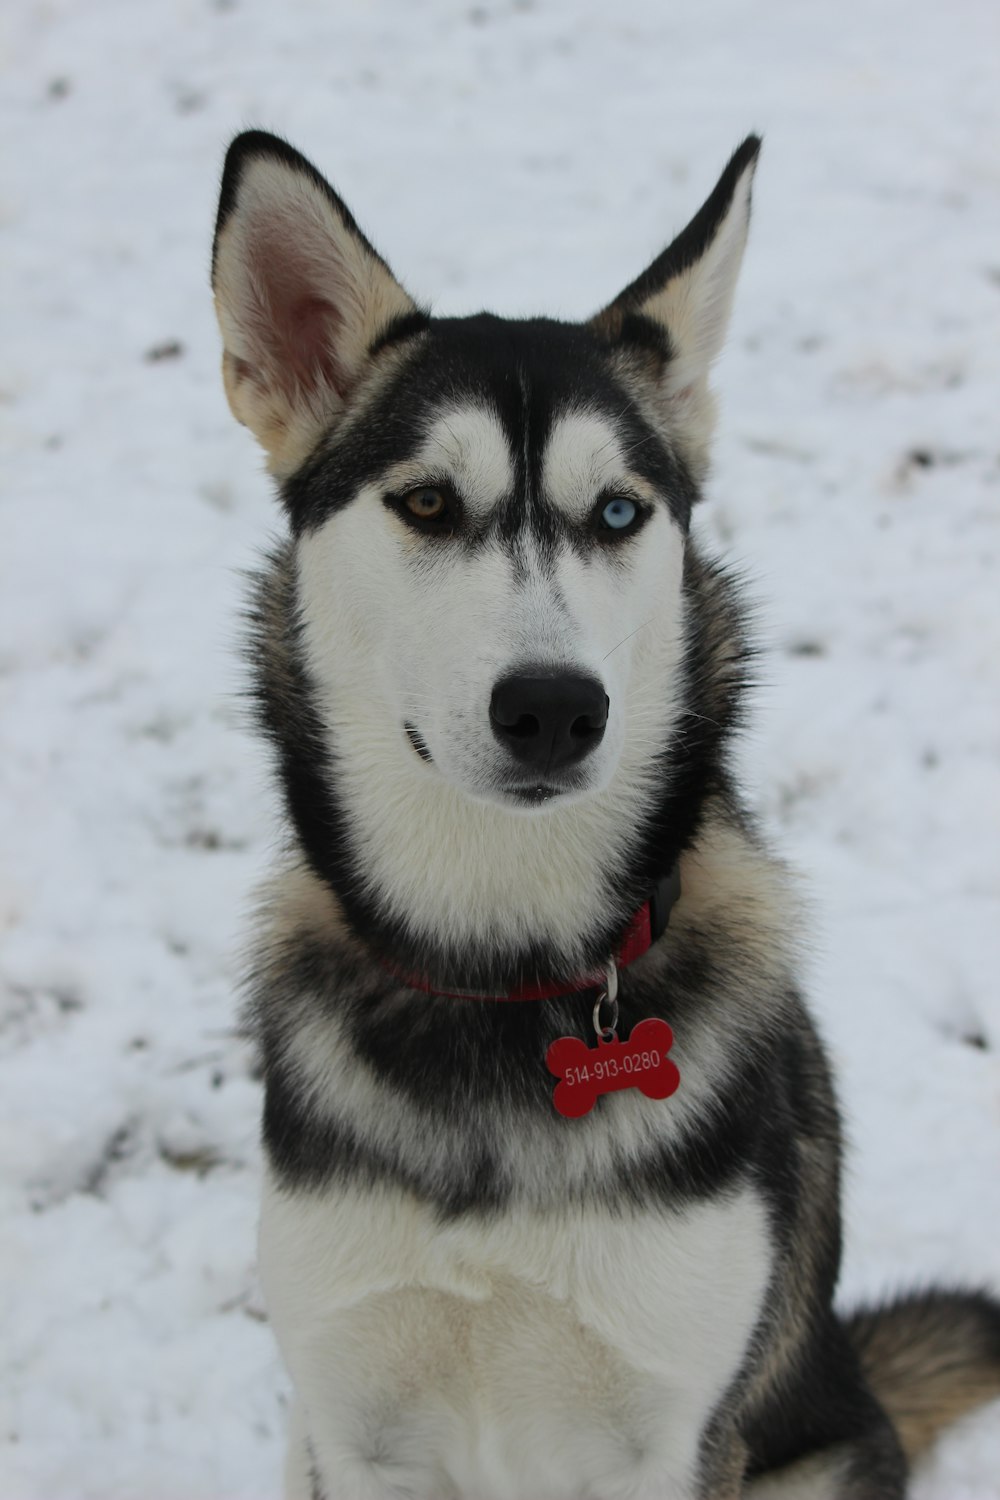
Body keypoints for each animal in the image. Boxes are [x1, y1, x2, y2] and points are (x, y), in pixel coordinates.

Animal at [211, 132, 1000, 1500]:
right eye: (426, 503)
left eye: (620, 511)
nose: (553, 708)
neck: (499, 972)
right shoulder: (357, 1423)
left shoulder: (668, 1434)